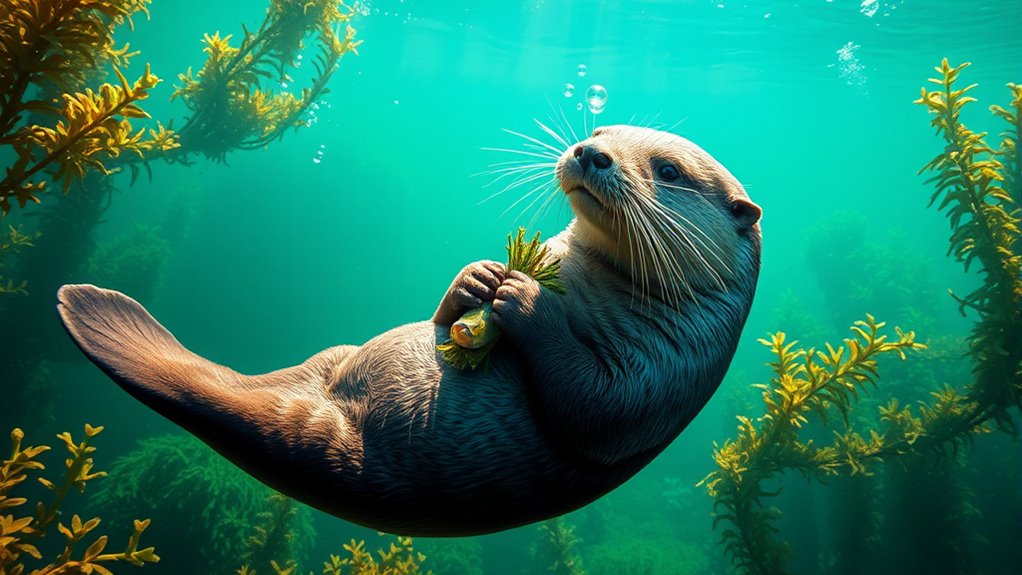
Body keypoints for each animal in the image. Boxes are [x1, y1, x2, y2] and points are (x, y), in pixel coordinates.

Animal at [57, 125, 761, 536]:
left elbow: (594, 410)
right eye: (600, 129)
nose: (591, 152)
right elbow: (446, 314)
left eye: (667, 170)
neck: (591, 281)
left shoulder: (669, 368)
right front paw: (479, 279)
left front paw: (526, 298)